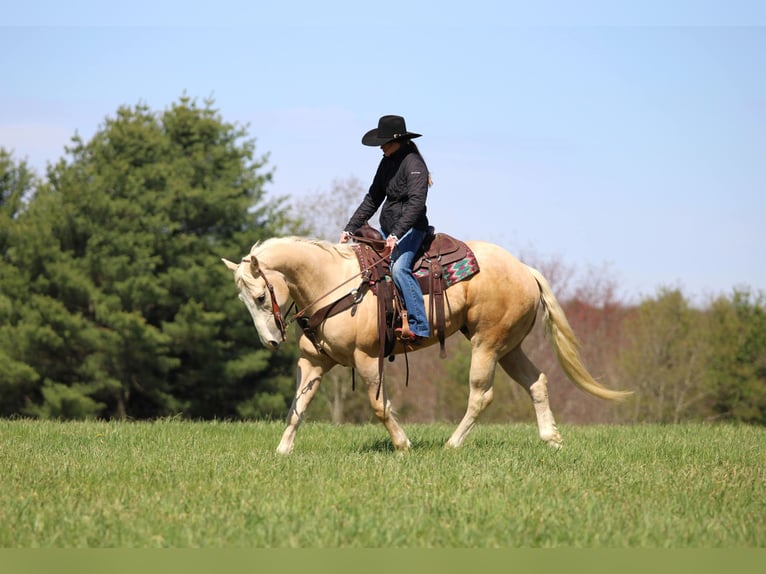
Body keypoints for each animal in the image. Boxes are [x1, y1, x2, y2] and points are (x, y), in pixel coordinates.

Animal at [222, 236, 630, 455]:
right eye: (244, 299)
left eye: (261, 296)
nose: (271, 340)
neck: (336, 284)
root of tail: (524, 270)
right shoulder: (313, 364)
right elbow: (298, 407)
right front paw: (282, 450)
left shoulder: (367, 359)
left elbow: (379, 406)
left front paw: (403, 445)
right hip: (509, 347)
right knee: (537, 382)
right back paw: (551, 439)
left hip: (487, 345)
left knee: (481, 395)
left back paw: (452, 444)